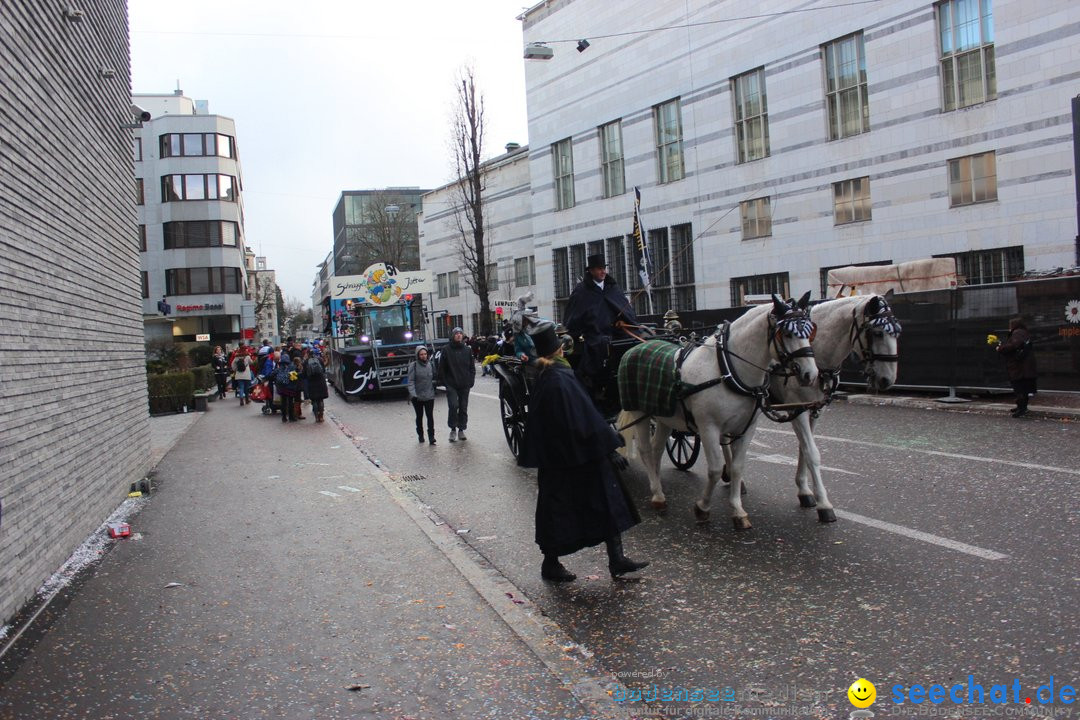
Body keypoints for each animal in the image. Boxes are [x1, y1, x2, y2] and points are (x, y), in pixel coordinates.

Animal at [617, 295, 816, 533]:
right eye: (786, 333)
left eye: (810, 331)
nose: (811, 374)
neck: (727, 371)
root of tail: (636, 347)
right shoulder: (709, 427)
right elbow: (713, 469)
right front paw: (702, 508)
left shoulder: (746, 428)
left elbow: (737, 467)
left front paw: (738, 511)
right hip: (641, 413)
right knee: (646, 451)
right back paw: (657, 495)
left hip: (665, 417)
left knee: (656, 451)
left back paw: (658, 486)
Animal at [764, 293, 907, 524]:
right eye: (877, 332)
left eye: (897, 331)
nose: (888, 379)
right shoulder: (797, 410)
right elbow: (812, 453)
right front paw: (824, 503)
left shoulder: (813, 410)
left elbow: (804, 448)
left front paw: (804, 491)